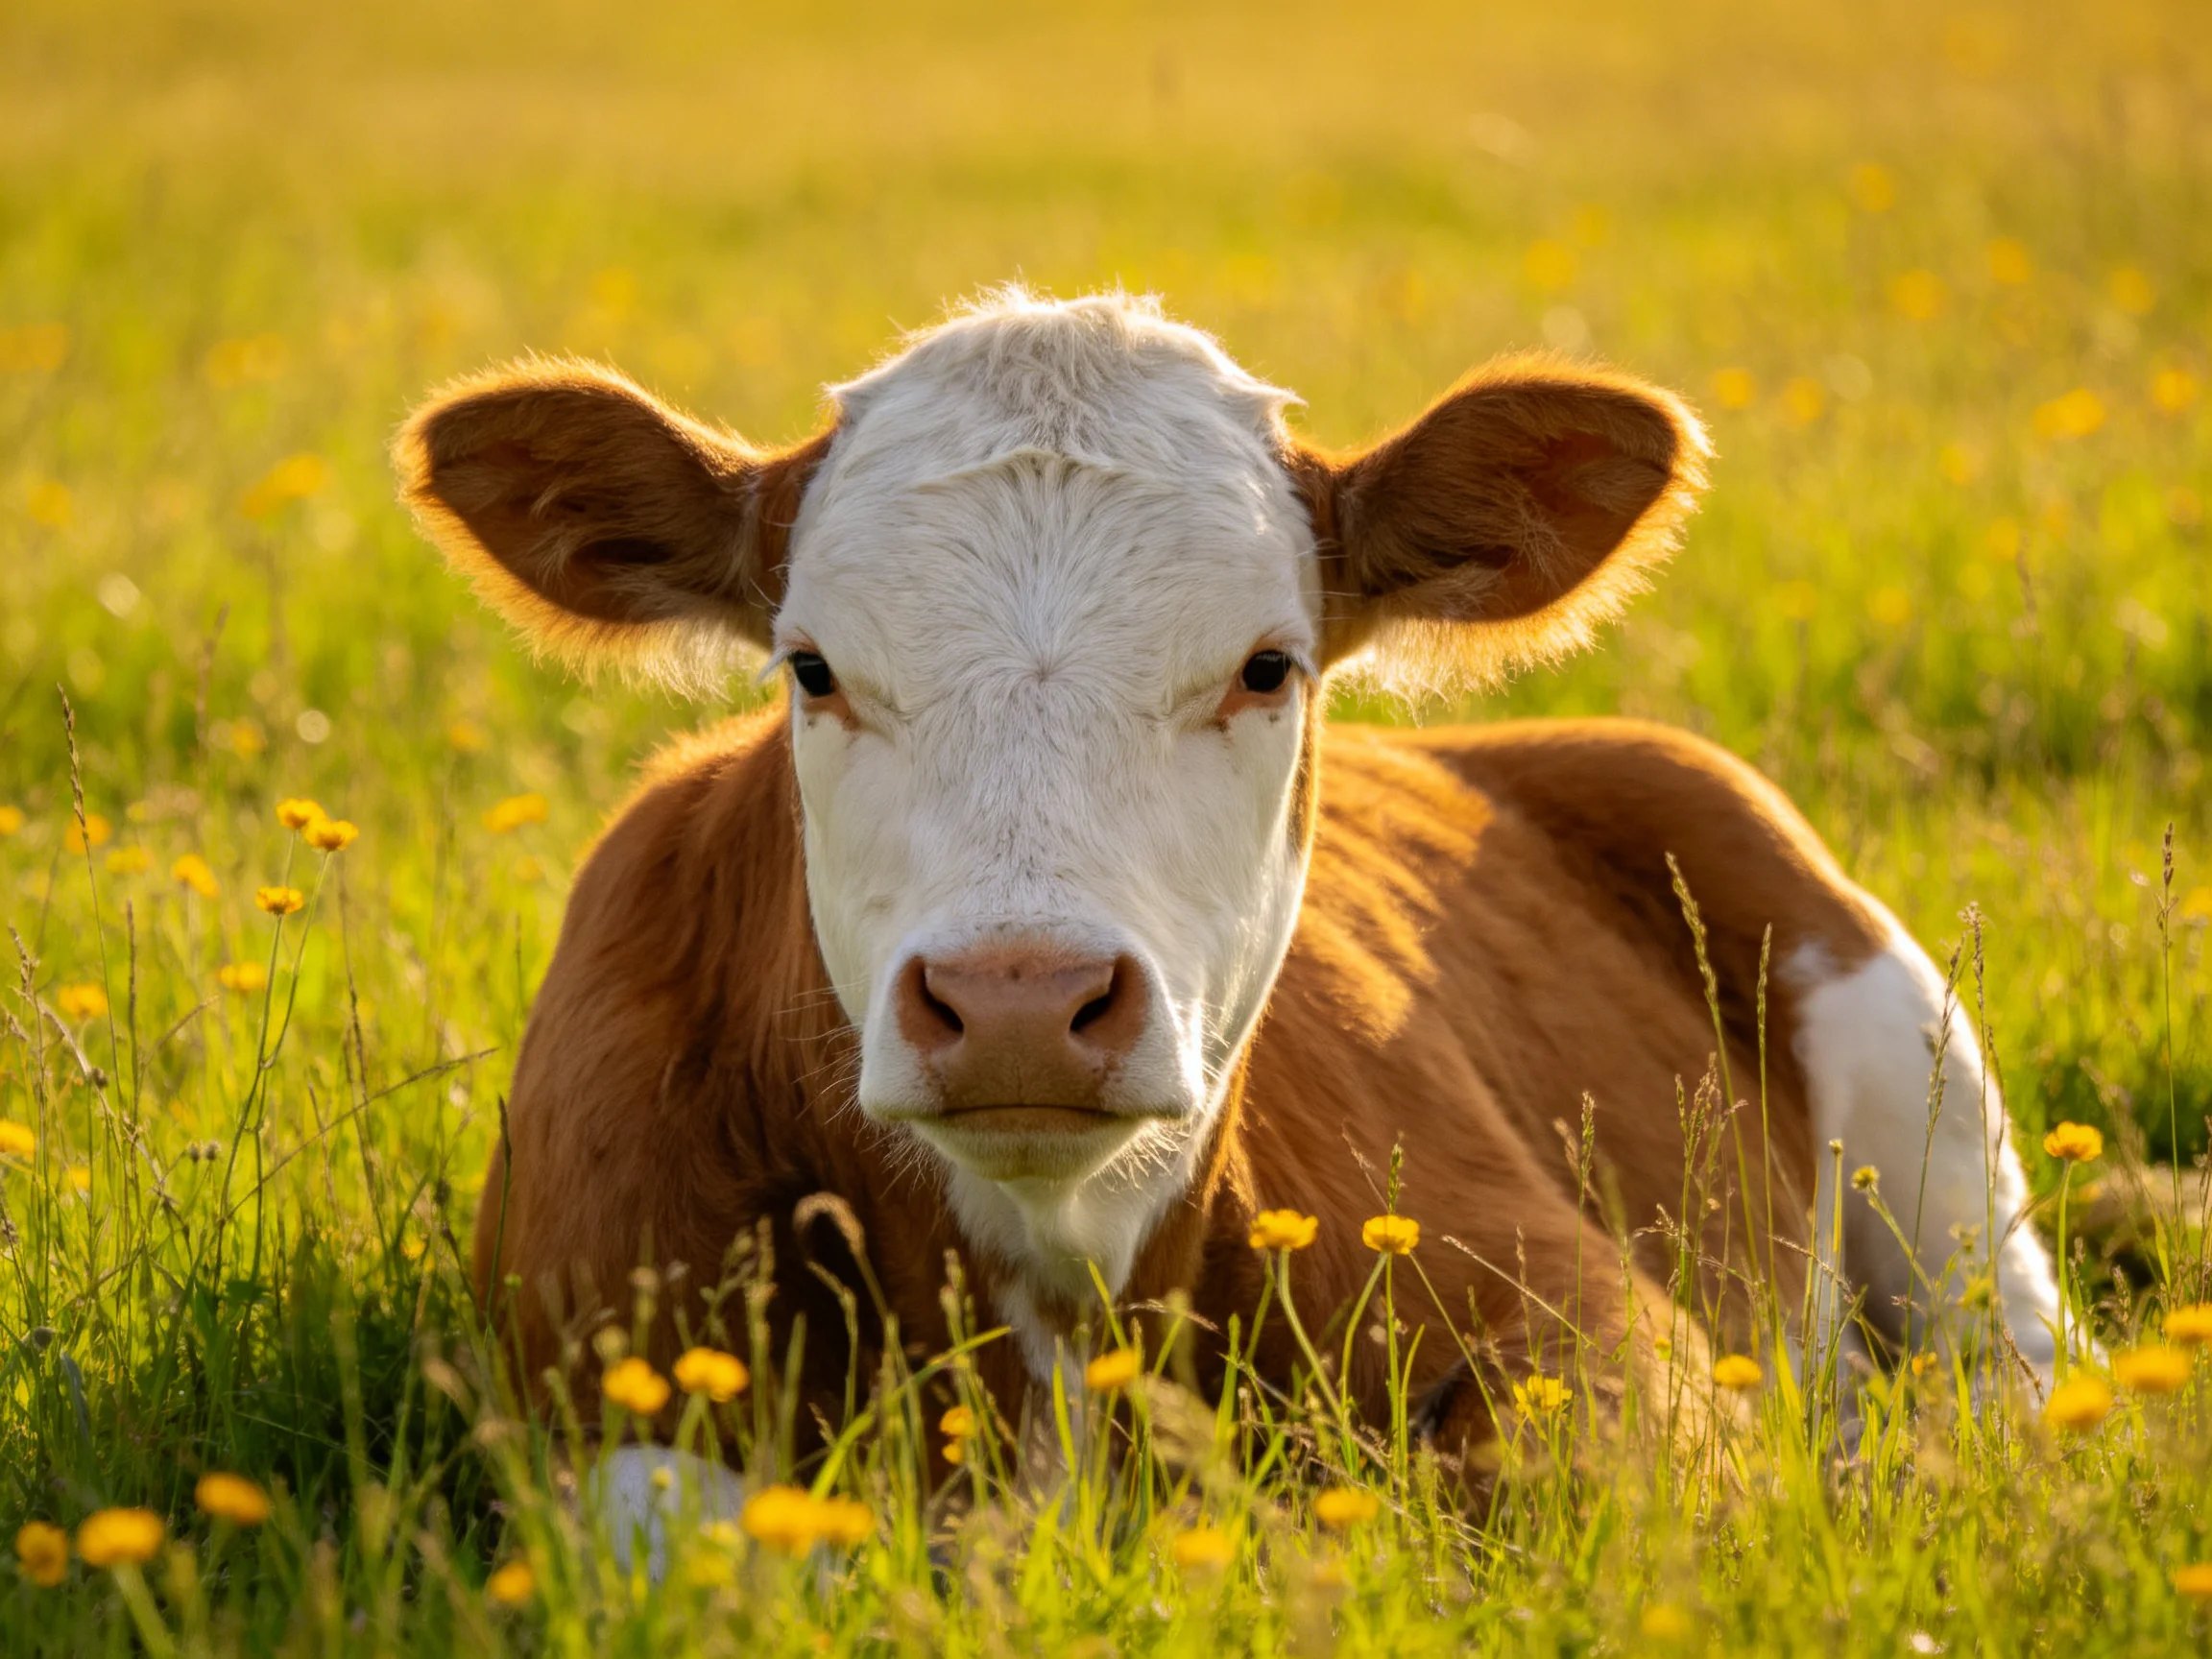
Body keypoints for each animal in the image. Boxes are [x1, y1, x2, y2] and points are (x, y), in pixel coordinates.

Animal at [396, 289, 2060, 1527]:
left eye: (1267, 666)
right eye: (811, 668)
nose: (1017, 1000)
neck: (1059, 1292)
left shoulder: (1604, 1327)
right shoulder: (581, 1368)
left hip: (1929, 1105)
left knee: (2021, 1382)